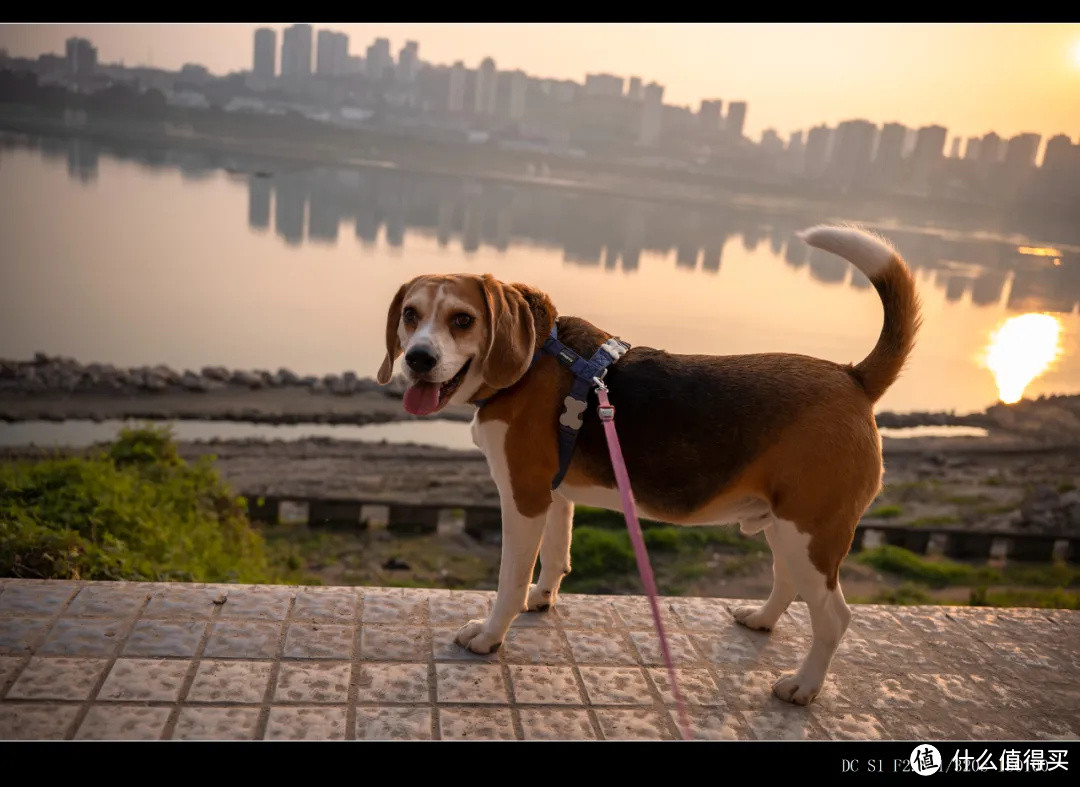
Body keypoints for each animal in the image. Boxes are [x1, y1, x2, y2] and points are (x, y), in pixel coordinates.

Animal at [378, 224, 920, 703]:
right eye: (410, 315)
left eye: (463, 320)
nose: (418, 359)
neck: (531, 359)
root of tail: (853, 377)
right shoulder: (554, 494)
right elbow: (555, 556)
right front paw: (543, 599)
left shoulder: (523, 497)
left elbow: (509, 579)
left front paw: (491, 635)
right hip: (786, 527)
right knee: (787, 583)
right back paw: (762, 619)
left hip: (811, 532)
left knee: (834, 617)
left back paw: (803, 686)